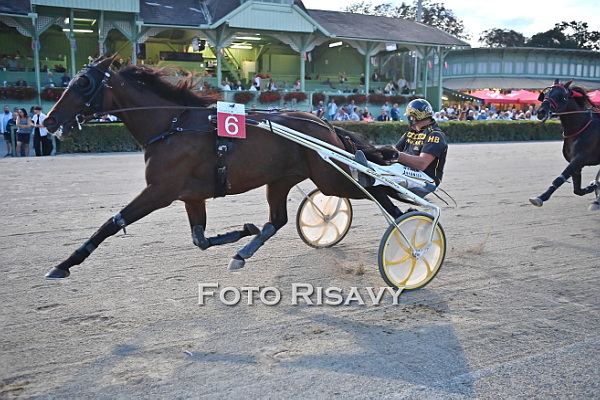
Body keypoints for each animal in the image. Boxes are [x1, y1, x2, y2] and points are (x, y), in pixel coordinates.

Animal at [42, 55, 399, 279]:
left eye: (84, 83)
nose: (49, 121)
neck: (173, 126)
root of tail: (323, 123)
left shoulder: (160, 191)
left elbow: (112, 223)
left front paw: (65, 263)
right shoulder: (190, 195)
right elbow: (199, 239)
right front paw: (243, 230)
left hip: (331, 178)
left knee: (378, 191)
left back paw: (405, 227)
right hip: (282, 179)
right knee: (277, 221)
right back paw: (243, 253)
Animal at [529, 79, 600, 210]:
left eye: (561, 96)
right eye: (546, 94)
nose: (541, 112)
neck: (580, 127)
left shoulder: (580, 157)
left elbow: (559, 179)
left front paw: (540, 198)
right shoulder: (576, 162)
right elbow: (577, 189)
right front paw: (594, 186)